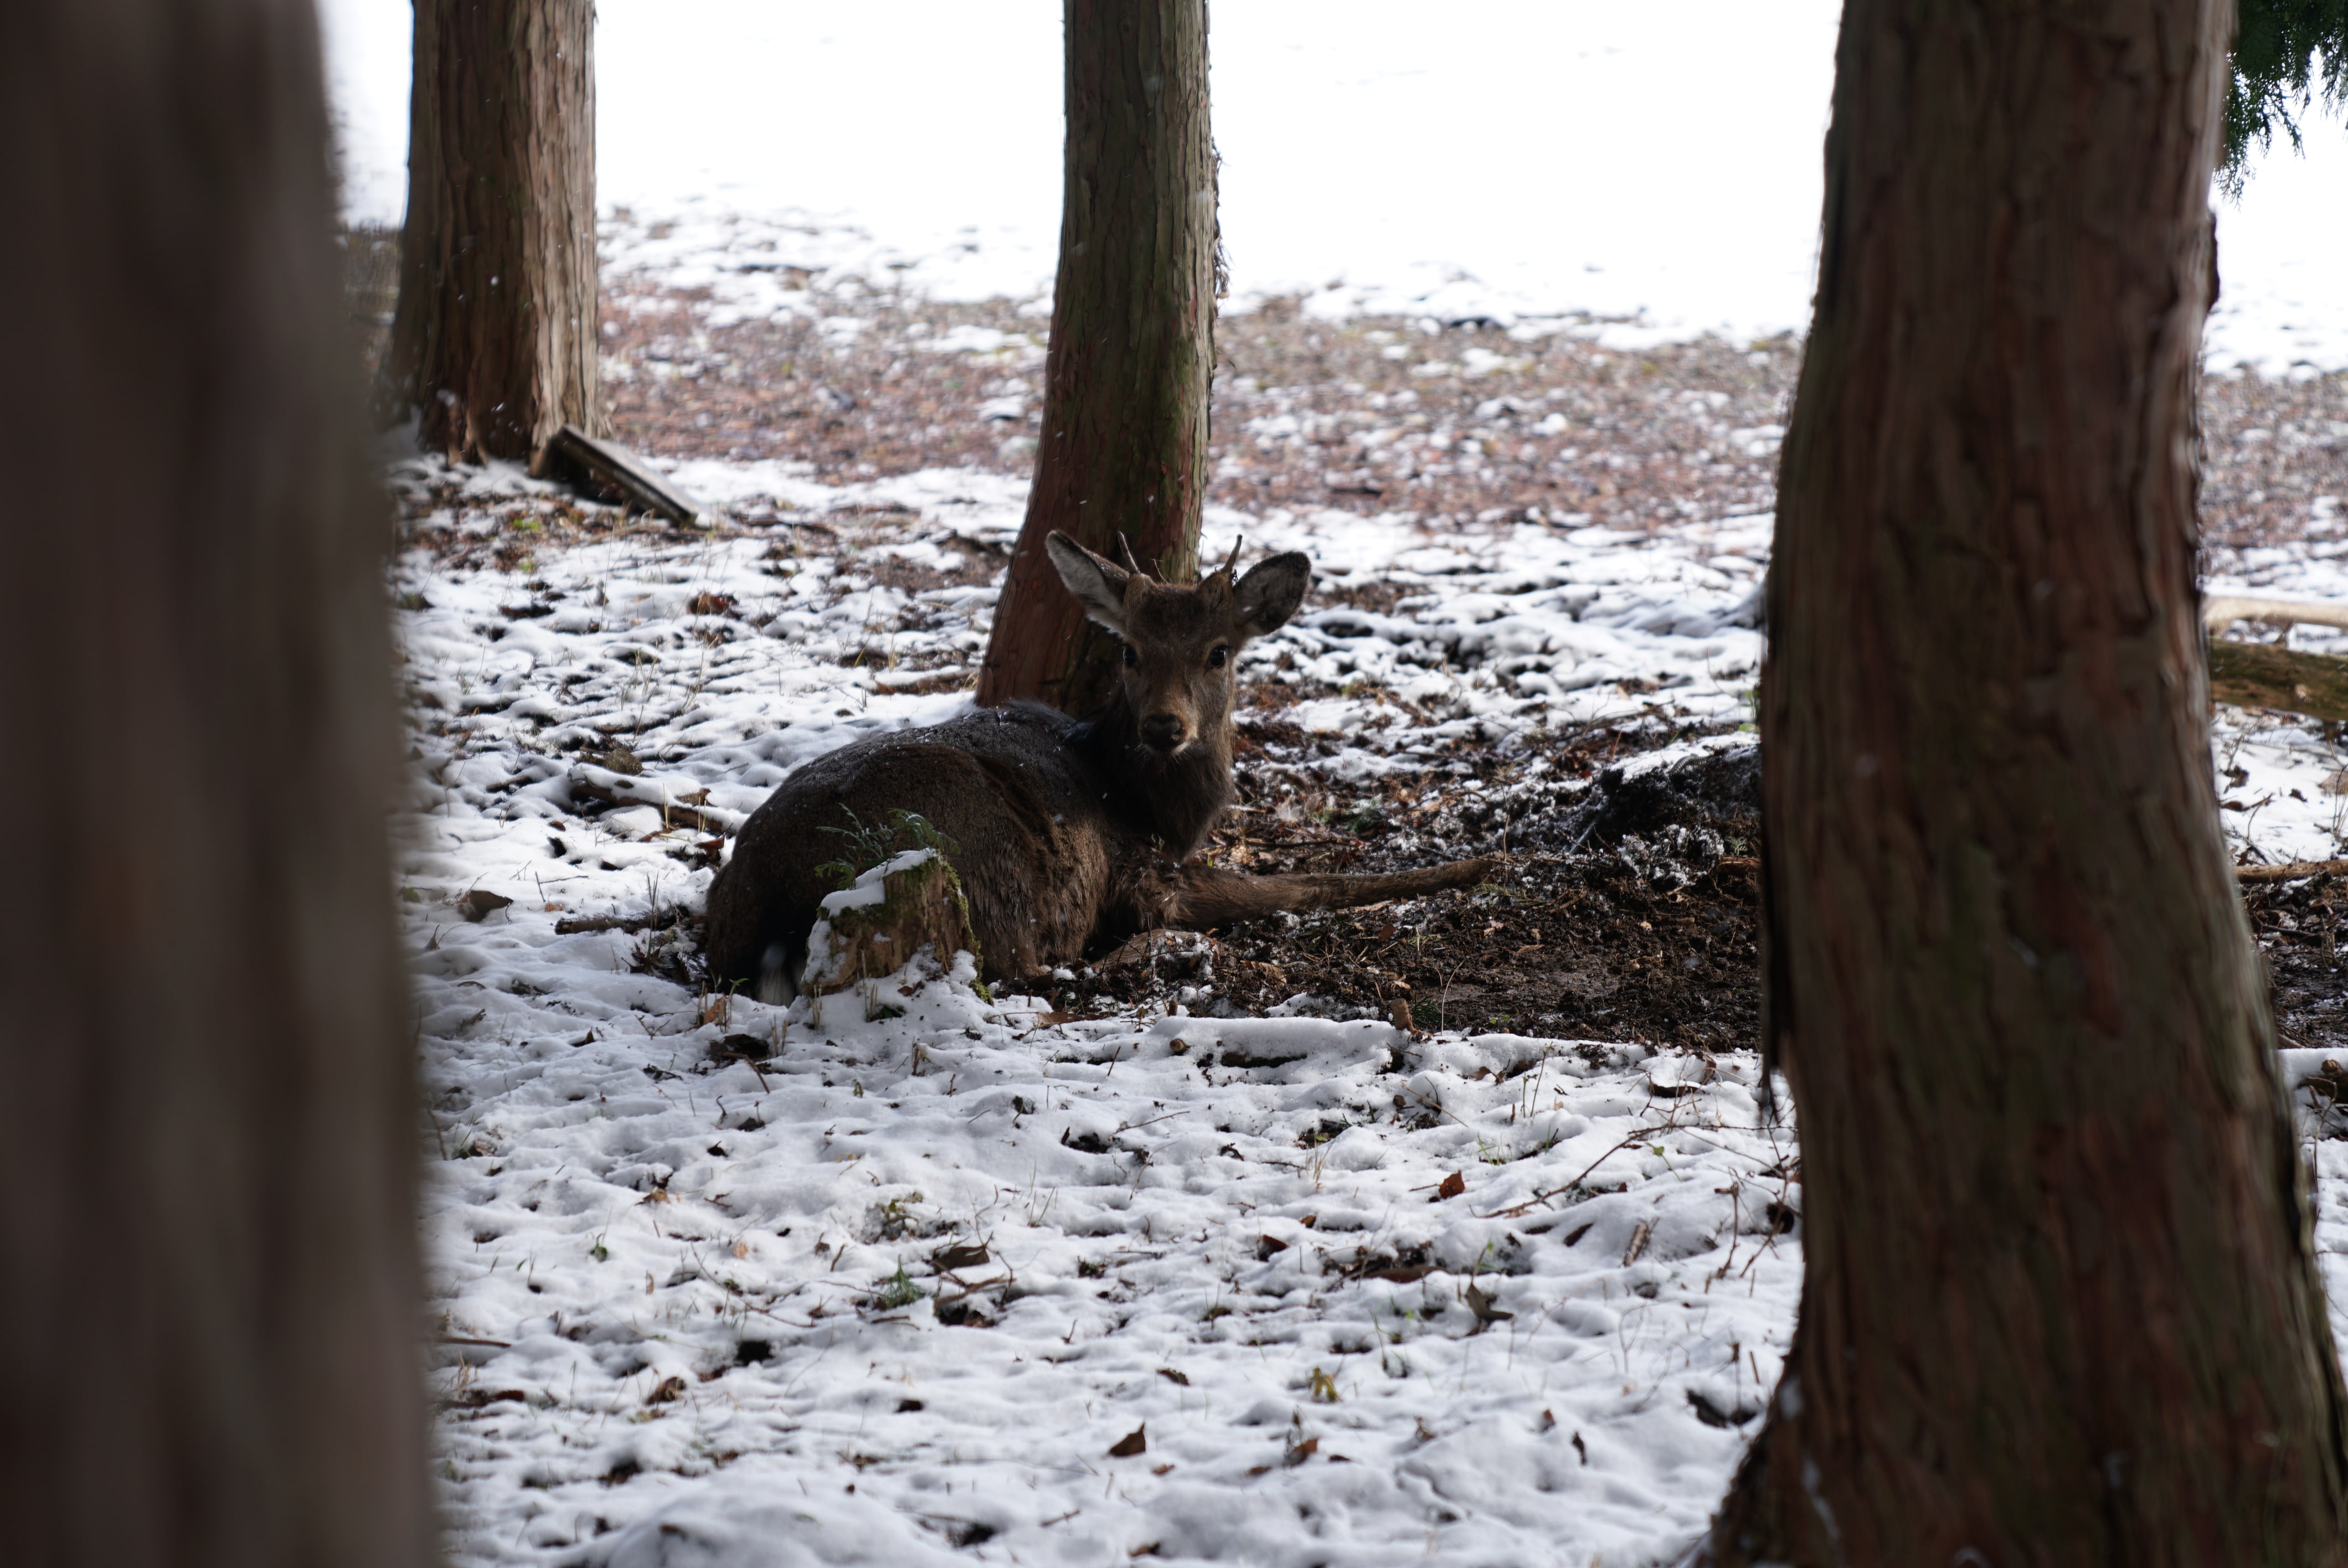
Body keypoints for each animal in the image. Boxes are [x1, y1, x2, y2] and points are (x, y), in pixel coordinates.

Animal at [704, 535, 1493, 1004]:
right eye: (1130, 651)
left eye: (1218, 652)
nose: (1164, 726)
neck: (1153, 809)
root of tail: (776, 906)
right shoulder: (1142, 874)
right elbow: (1312, 884)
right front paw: (1485, 864)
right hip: (982, 875)